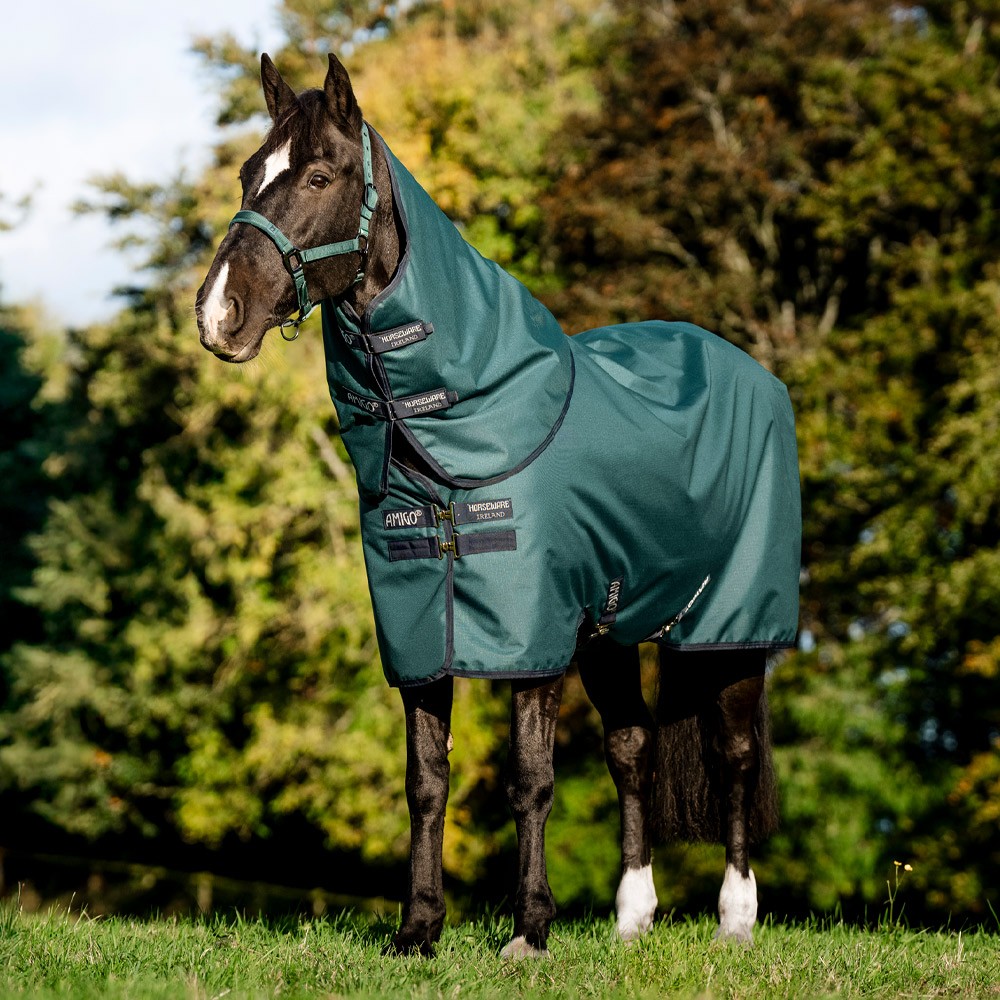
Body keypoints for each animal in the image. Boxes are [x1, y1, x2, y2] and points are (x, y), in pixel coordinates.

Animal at [195, 53, 800, 957]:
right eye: (246, 174)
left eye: (319, 175)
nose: (217, 314)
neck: (465, 428)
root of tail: (752, 372)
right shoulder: (420, 635)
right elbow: (425, 782)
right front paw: (418, 930)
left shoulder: (532, 641)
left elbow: (532, 781)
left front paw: (529, 931)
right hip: (612, 632)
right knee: (633, 749)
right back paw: (632, 918)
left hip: (728, 628)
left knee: (731, 755)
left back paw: (735, 919)